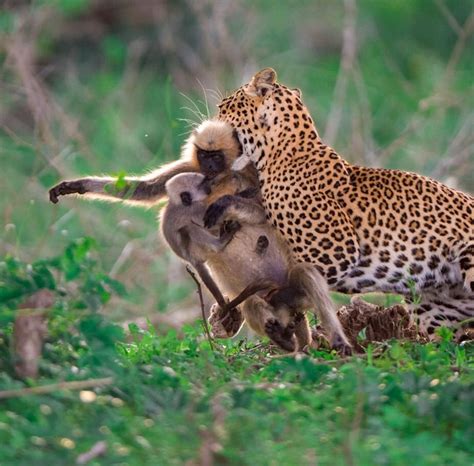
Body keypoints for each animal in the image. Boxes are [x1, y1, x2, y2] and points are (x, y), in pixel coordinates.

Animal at [213, 68, 474, 338]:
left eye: (223, 107)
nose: (209, 122)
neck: (279, 156)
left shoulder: (334, 253)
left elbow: (287, 281)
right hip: (429, 308)